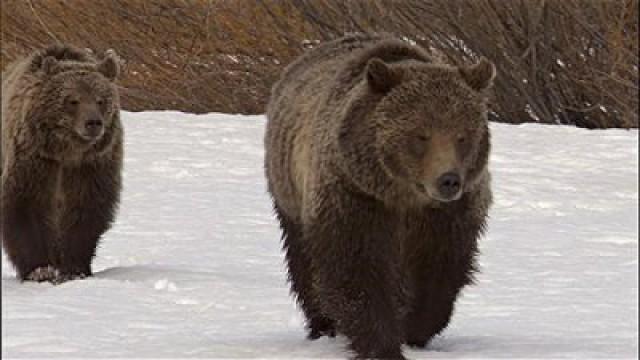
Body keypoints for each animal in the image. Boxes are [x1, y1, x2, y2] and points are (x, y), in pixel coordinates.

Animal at [0, 43, 122, 282]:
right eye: (73, 100)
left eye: (100, 100)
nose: (93, 123)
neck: (67, 150)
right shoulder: (35, 159)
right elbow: (26, 204)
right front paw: (40, 269)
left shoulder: (90, 165)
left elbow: (84, 208)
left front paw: (73, 268)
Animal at [264, 34, 496, 360]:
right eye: (420, 135)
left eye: (462, 136)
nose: (448, 180)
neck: (403, 196)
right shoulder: (355, 198)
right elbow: (357, 273)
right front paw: (382, 344)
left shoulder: (447, 217)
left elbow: (437, 273)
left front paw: (413, 328)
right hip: (290, 191)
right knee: (304, 263)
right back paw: (323, 325)